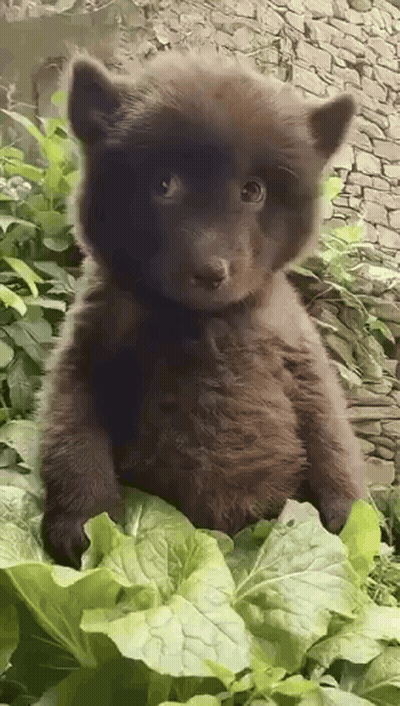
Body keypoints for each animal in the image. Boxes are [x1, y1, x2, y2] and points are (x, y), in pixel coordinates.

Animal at [38, 49, 366, 568]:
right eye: (164, 184)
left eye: (253, 190)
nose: (210, 271)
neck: (204, 320)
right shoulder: (89, 344)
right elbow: (72, 431)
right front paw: (85, 528)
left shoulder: (301, 354)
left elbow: (330, 432)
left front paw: (347, 525)